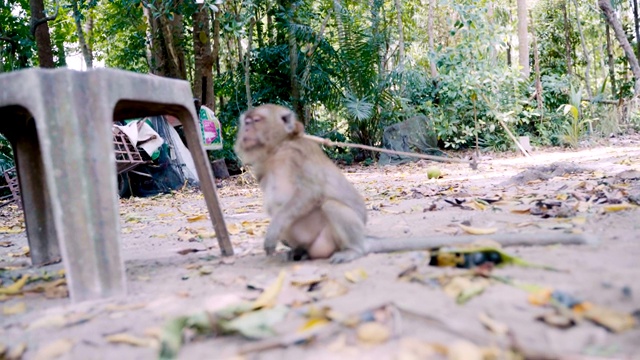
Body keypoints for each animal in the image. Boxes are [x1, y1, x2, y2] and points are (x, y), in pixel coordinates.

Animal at [235, 104, 596, 264]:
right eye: (246, 121)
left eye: (255, 120)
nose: (244, 130)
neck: (276, 150)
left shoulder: (295, 156)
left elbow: (310, 193)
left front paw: (271, 233)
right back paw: (296, 251)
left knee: (330, 206)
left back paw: (352, 251)